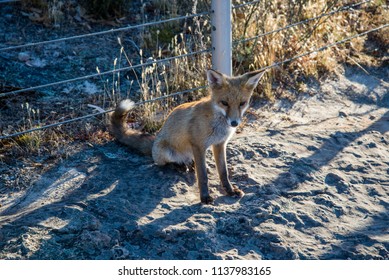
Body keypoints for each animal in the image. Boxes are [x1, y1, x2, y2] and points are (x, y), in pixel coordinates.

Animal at [110, 69, 266, 202]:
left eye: (242, 103)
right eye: (224, 103)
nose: (234, 123)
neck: (218, 124)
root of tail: (155, 142)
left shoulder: (219, 144)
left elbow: (223, 172)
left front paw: (230, 191)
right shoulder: (198, 145)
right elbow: (202, 176)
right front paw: (205, 197)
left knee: (190, 162)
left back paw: (190, 164)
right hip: (165, 151)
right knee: (163, 163)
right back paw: (178, 165)